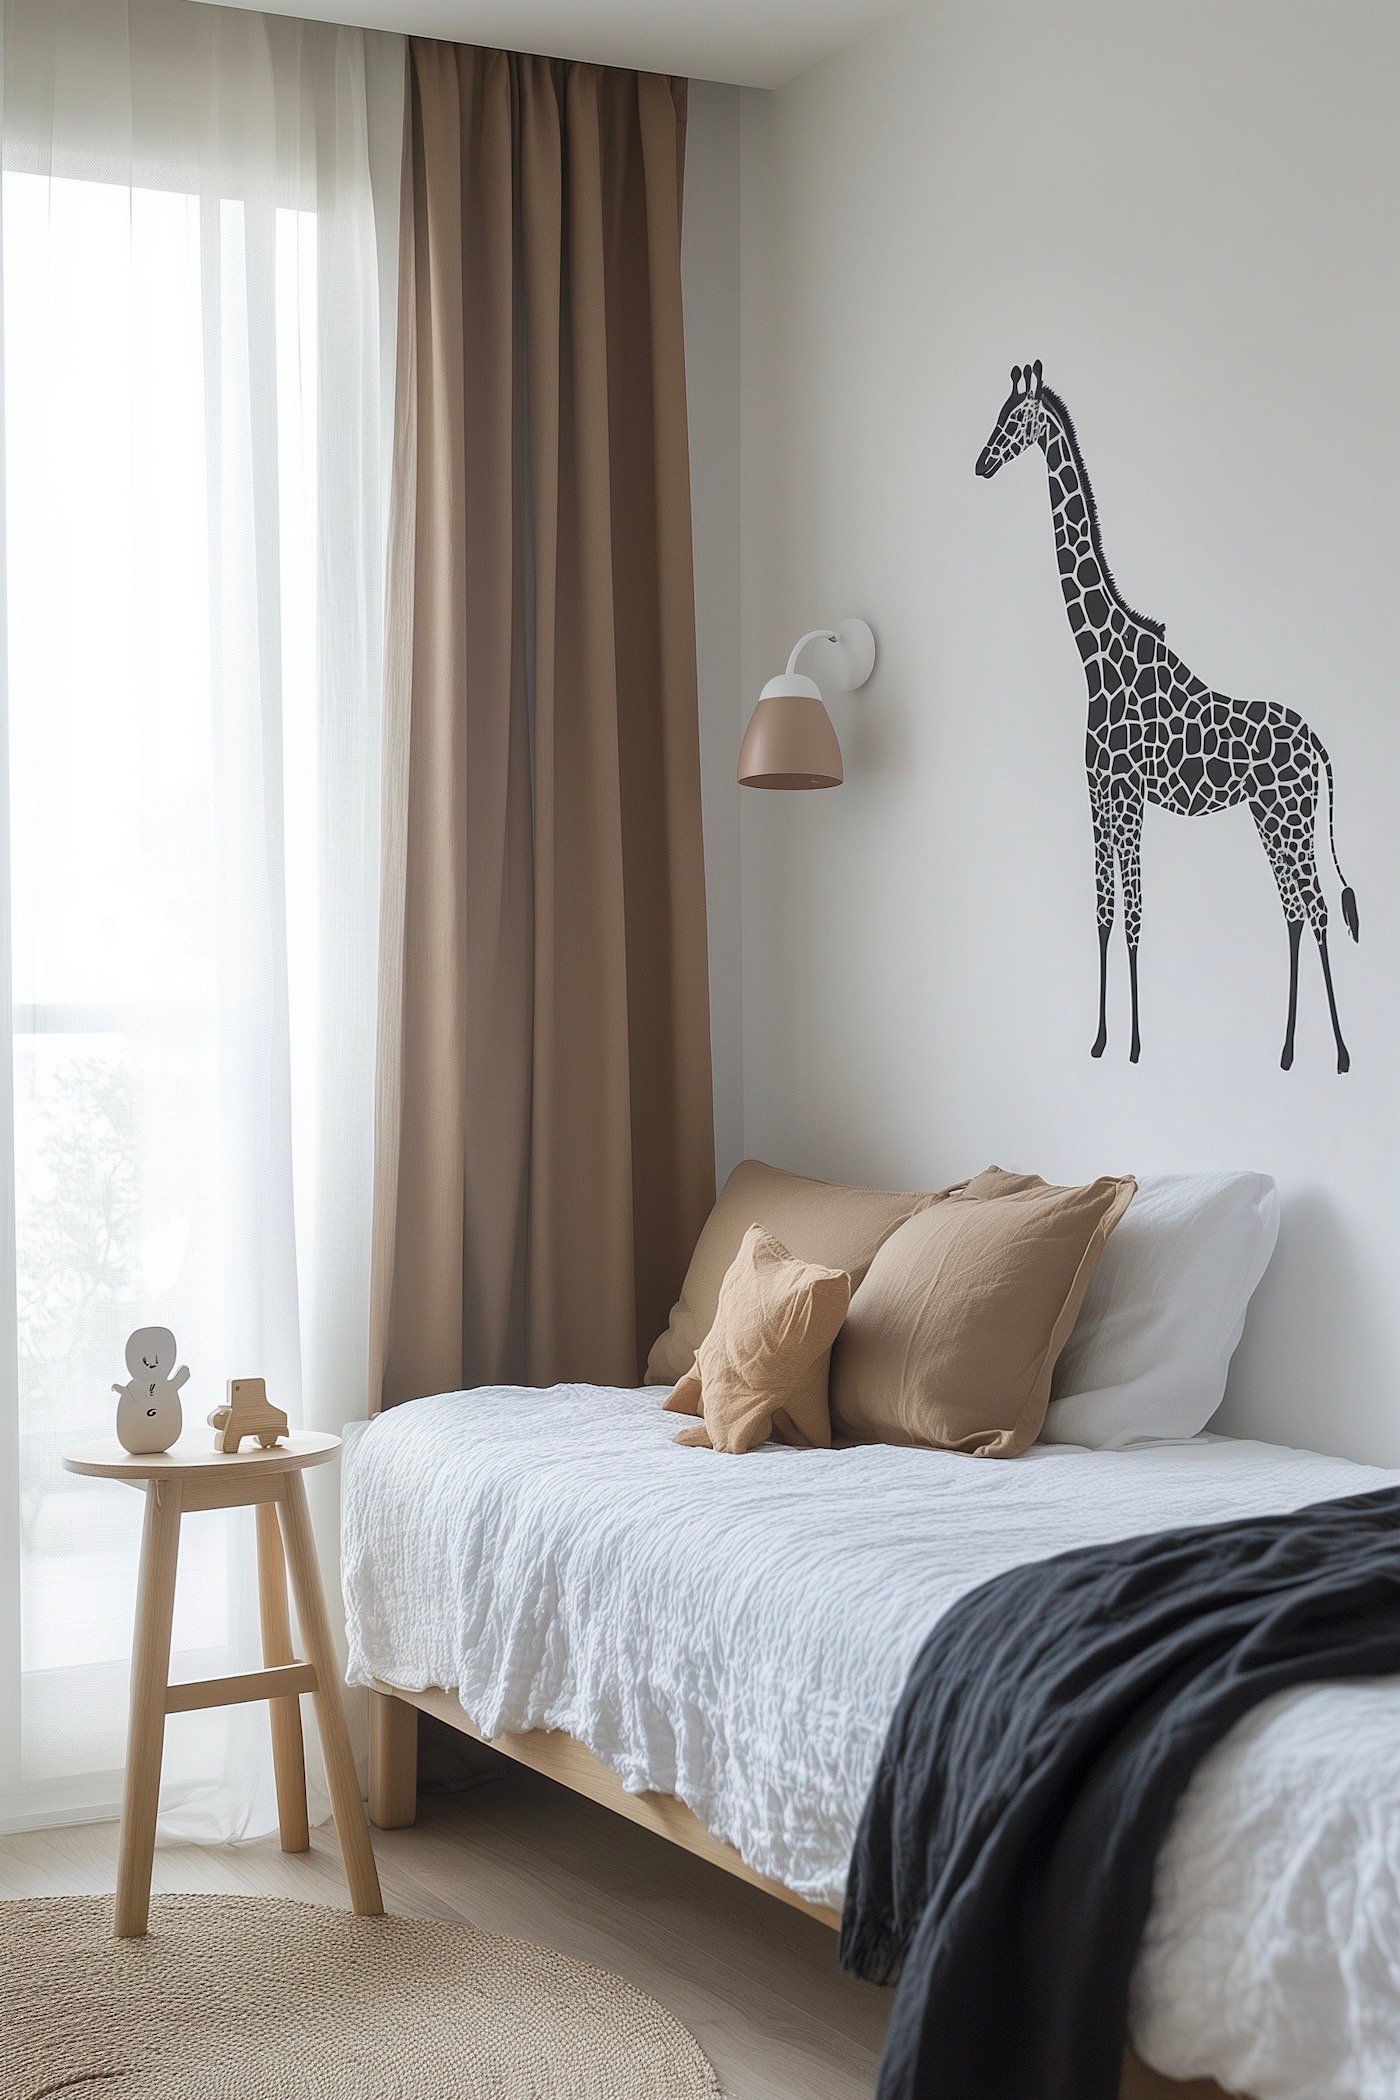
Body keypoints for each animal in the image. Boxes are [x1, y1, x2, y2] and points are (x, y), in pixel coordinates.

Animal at [975, 360, 1358, 1072]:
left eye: (1014, 419)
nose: (981, 462)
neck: (1097, 656)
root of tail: (1318, 742)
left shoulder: (1128, 796)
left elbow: (1133, 915)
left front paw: (1132, 1044)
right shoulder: (1097, 792)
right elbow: (1103, 912)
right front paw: (1100, 1040)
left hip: (1291, 818)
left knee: (1318, 907)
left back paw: (1342, 1054)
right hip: (1269, 816)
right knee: (1293, 910)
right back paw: (1288, 1050)